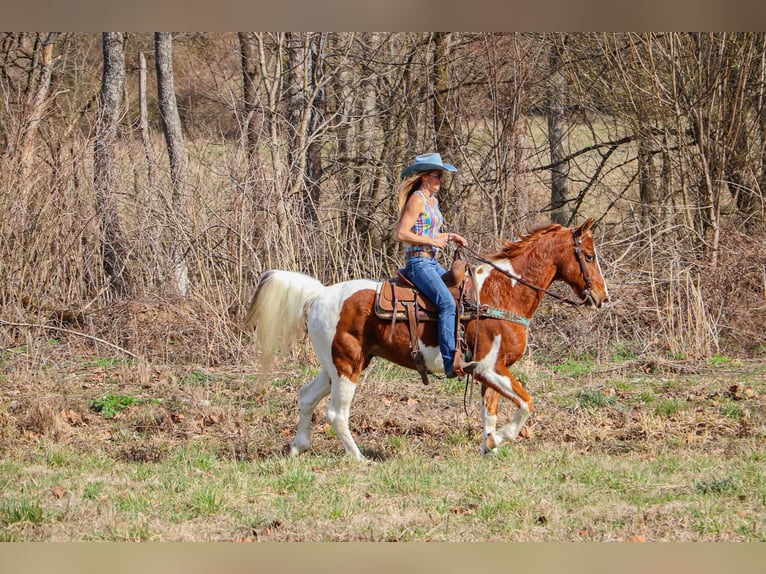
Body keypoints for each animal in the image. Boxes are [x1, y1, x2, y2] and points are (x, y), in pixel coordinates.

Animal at [248, 218, 612, 462]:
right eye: (589, 256)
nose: (602, 297)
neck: (503, 293)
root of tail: (320, 294)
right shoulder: (490, 368)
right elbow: (526, 403)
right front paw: (500, 439)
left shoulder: (490, 373)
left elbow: (490, 413)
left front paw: (489, 446)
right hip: (347, 366)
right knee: (337, 413)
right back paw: (359, 458)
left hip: (335, 367)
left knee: (306, 397)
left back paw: (299, 446)